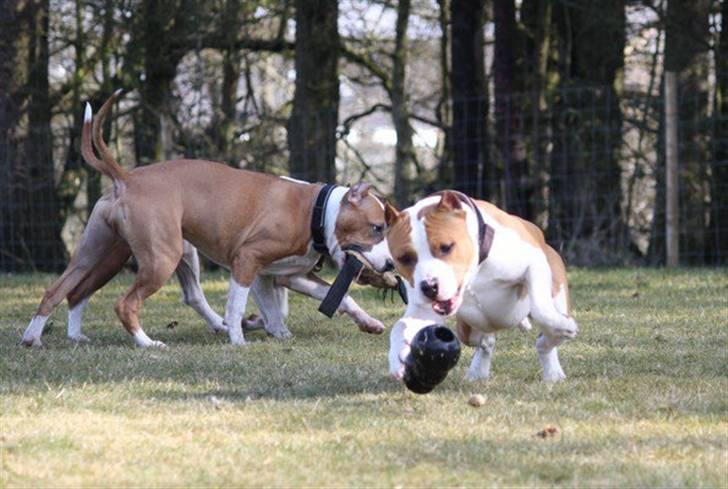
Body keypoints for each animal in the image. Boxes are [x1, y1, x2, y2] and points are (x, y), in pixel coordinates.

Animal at [384, 190, 576, 382]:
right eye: (405, 258)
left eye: (446, 247)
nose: (429, 287)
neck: (473, 275)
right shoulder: (422, 310)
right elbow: (400, 326)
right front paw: (397, 358)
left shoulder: (533, 263)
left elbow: (541, 310)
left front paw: (562, 325)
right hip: (466, 328)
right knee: (484, 340)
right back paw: (478, 371)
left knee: (545, 340)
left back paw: (553, 371)